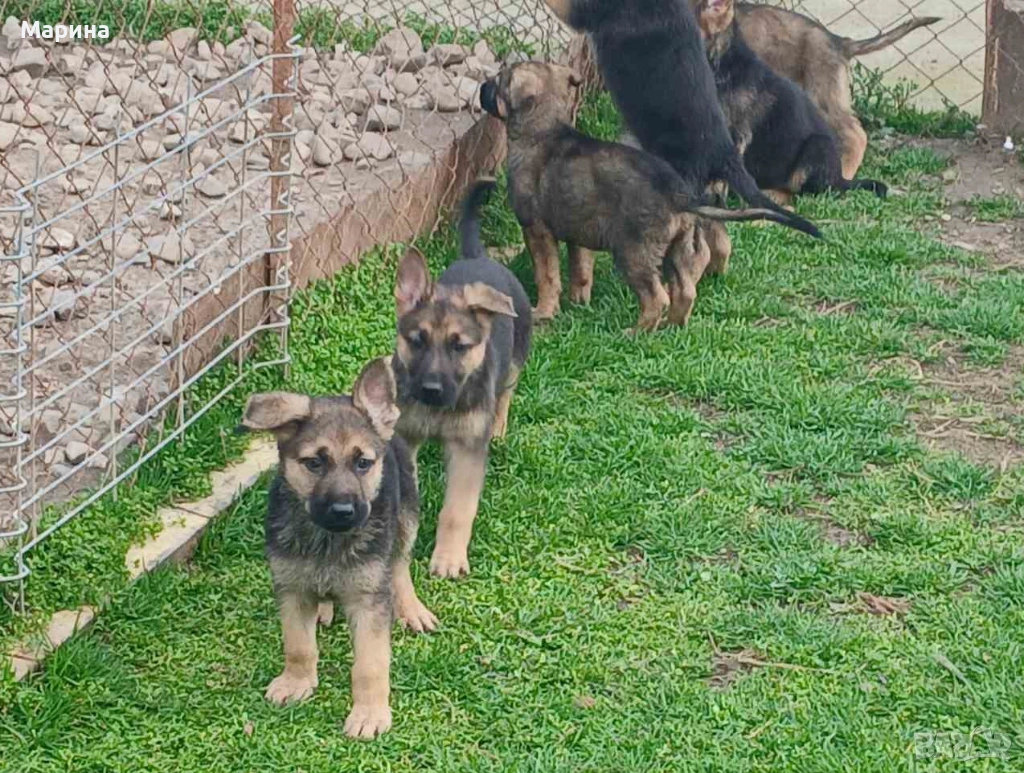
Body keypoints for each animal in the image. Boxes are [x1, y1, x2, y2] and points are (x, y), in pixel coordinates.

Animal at [240, 358, 437, 740]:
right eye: (314, 463)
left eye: (363, 463)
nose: (343, 511)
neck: (327, 540)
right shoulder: (291, 588)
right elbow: (298, 644)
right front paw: (296, 681)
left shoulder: (369, 599)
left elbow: (370, 664)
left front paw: (369, 713)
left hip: (407, 514)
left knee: (400, 564)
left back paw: (410, 608)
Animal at [391, 179, 532, 579]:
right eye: (417, 341)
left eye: (459, 346)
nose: (431, 390)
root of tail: (478, 257)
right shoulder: (405, 437)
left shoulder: (468, 448)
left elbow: (457, 509)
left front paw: (449, 557)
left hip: (515, 361)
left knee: (505, 394)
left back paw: (498, 427)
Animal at [481, 61, 818, 331]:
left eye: (498, 81)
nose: (482, 87)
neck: (544, 128)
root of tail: (678, 196)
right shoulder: (579, 232)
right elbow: (581, 271)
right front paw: (578, 302)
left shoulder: (536, 230)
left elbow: (547, 276)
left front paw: (544, 311)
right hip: (675, 248)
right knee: (685, 289)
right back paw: (671, 327)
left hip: (634, 253)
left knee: (657, 296)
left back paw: (637, 332)